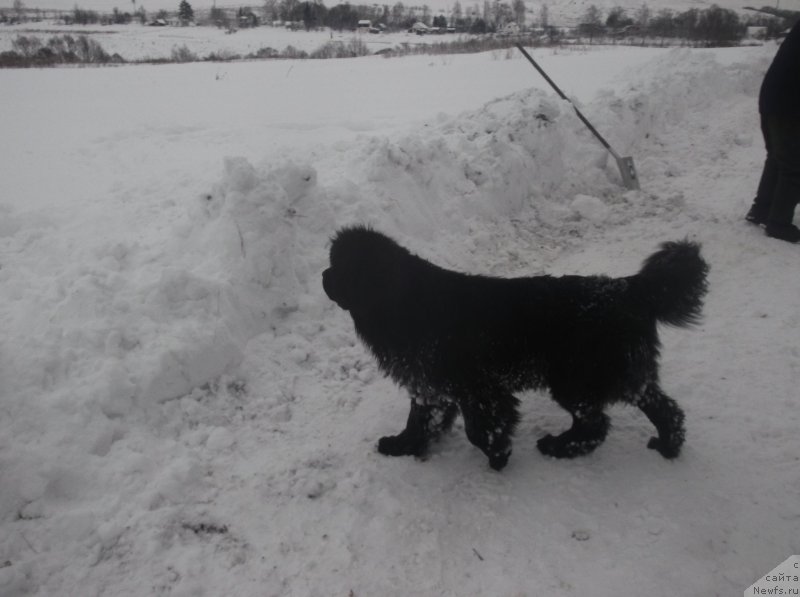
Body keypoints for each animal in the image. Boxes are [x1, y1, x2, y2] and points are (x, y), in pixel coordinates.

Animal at [322, 226, 708, 468]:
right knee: (664, 409)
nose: (323, 277)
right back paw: (667, 446)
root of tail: (628, 289)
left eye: (339, 267)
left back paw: (558, 447)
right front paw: (402, 445)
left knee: (595, 423)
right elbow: (419, 420)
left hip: (576, 378)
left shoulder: (478, 388)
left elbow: (480, 429)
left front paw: (498, 454)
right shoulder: (428, 384)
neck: (405, 302)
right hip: (622, 373)